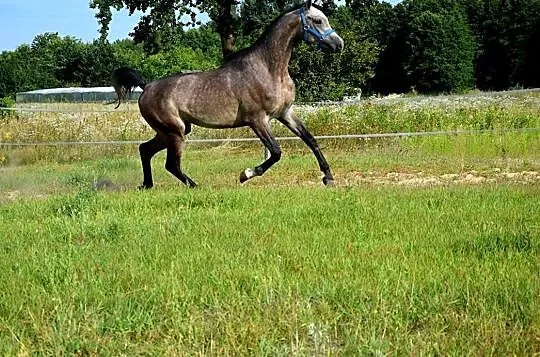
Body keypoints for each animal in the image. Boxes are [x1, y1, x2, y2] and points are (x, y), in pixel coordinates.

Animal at [137, 0, 344, 188]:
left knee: (145, 150)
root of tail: (146, 87)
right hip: (175, 132)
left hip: (172, 131)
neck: (269, 69)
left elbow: (311, 140)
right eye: (318, 20)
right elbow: (276, 152)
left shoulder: (285, 113)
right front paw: (246, 174)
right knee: (171, 164)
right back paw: (194, 186)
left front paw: (329, 178)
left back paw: (147, 185)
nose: (339, 44)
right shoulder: (258, 120)